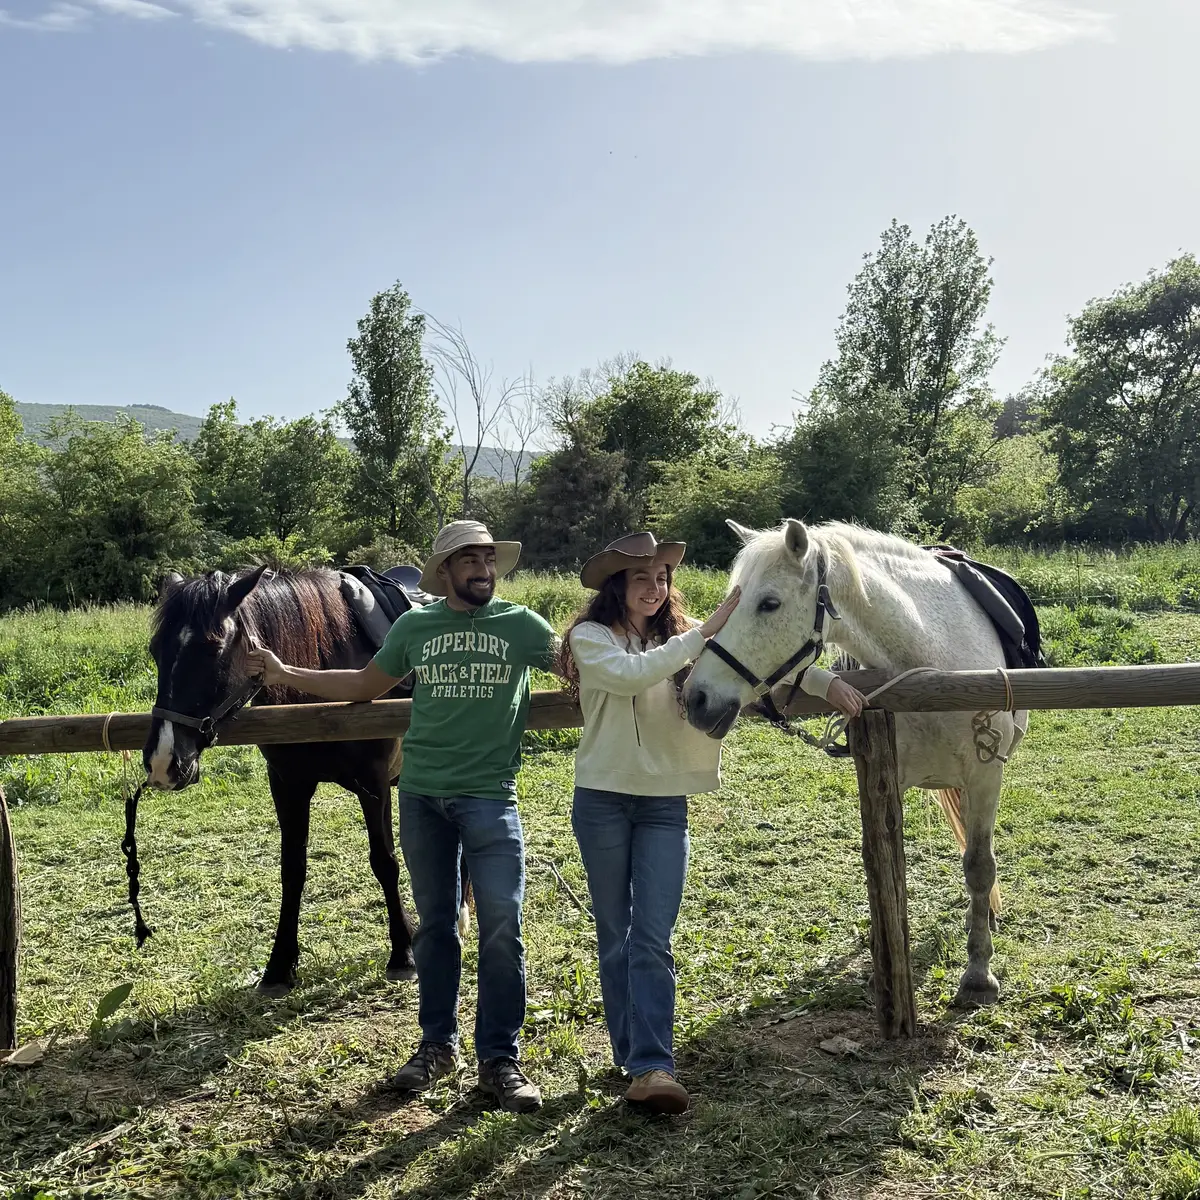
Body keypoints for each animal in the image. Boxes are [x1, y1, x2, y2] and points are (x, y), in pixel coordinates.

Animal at [140, 564, 423, 997]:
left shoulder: (374, 786)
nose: (162, 762)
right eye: (156, 650)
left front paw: (403, 953)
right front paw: (279, 966)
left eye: (212, 649)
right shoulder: (288, 785)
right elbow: (292, 870)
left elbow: (384, 862)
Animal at [683, 518, 1029, 1007]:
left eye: (769, 603)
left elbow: (979, 865)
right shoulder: (888, 775)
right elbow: (883, 861)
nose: (696, 699)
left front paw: (978, 974)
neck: (934, 665)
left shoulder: (985, 775)